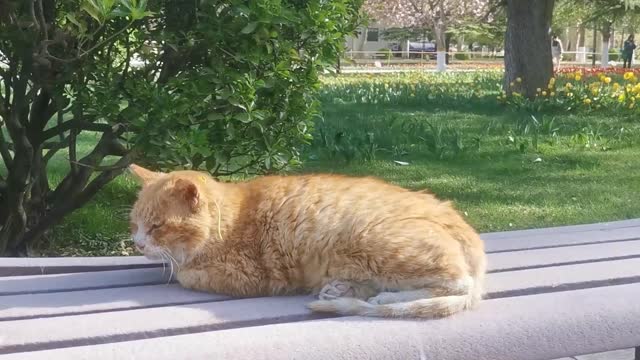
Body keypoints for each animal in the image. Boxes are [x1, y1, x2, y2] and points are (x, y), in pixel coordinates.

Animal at [129, 164, 484, 318]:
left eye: (157, 226)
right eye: (135, 223)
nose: (138, 244)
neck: (231, 218)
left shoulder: (246, 276)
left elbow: (184, 274)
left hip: (377, 244)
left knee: (458, 285)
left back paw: (380, 298)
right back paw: (342, 289)